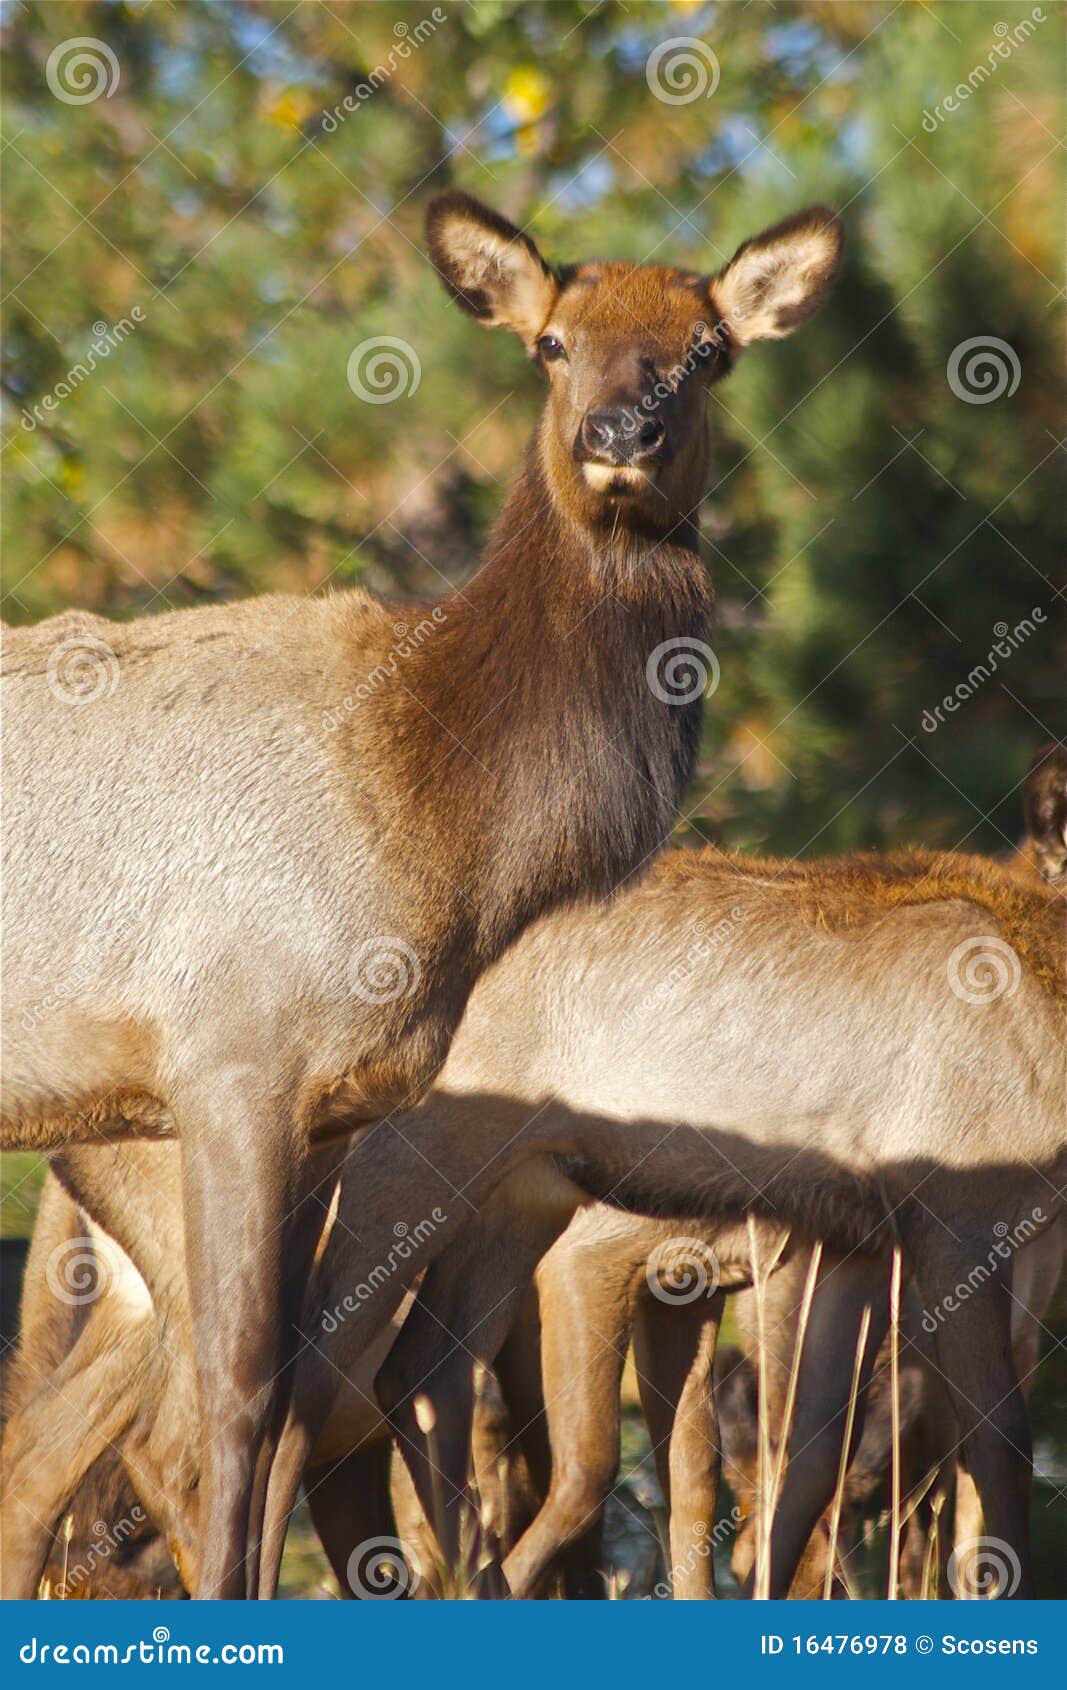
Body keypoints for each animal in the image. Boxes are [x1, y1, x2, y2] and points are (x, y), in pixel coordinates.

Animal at [1, 191, 844, 1595]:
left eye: (707, 349)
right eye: (551, 344)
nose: (619, 437)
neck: (439, 817)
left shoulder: (330, 1104)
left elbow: (289, 1403)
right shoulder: (231, 1057)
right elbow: (241, 1401)